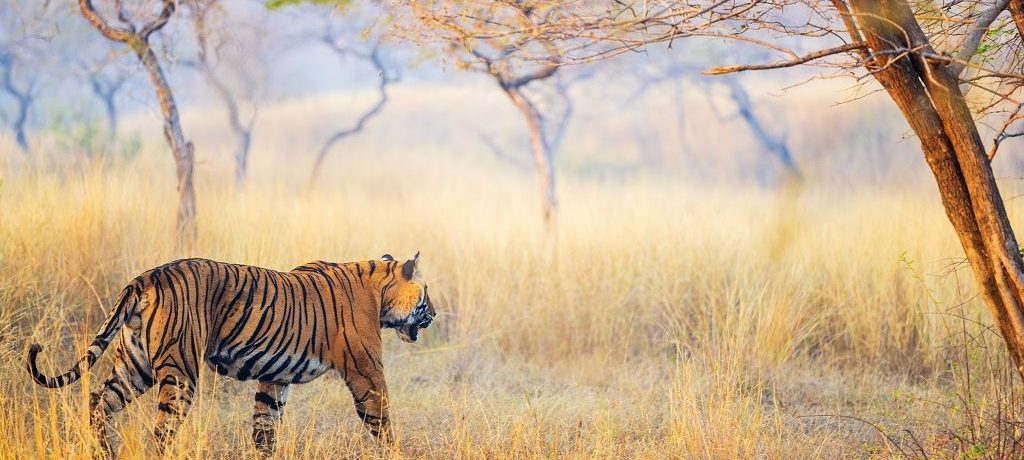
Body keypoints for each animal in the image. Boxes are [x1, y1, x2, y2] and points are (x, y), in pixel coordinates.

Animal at [24, 253, 432, 452]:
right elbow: (382, 420)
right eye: (427, 295)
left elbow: (265, 426)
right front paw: (395, 451)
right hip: (180, 373)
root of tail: (145, 277)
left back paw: (103, 450)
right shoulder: (366, 371)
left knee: (97, 401)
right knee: (160, 430)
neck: (379, 292)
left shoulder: (274, 377)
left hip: (134, 367)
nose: (436, 314)